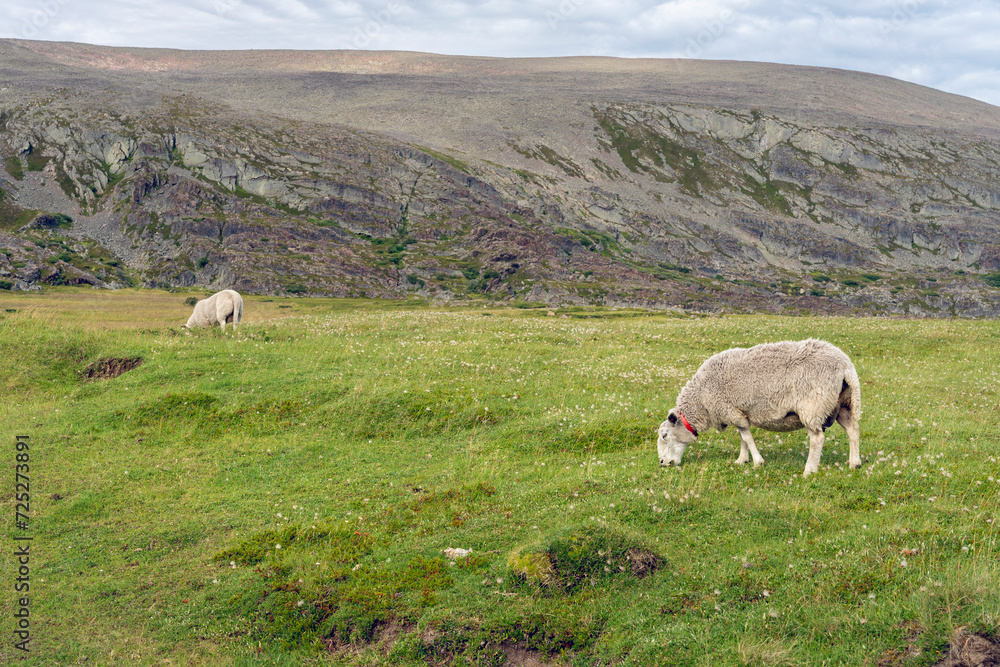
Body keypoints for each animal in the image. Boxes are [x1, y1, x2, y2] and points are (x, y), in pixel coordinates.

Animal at [656, 338, 861, 478]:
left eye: (665, 436)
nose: (661, 462)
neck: (701, 401)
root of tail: (846, 366)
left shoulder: (730, 410)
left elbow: (747, 437)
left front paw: (757, 461)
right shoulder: (738, 412)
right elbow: (742, 436)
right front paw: (742, 459)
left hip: (813, 406)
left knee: (817, 438)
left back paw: (809, 469)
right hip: (843, 403)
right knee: (852, 430)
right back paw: (854, 463)